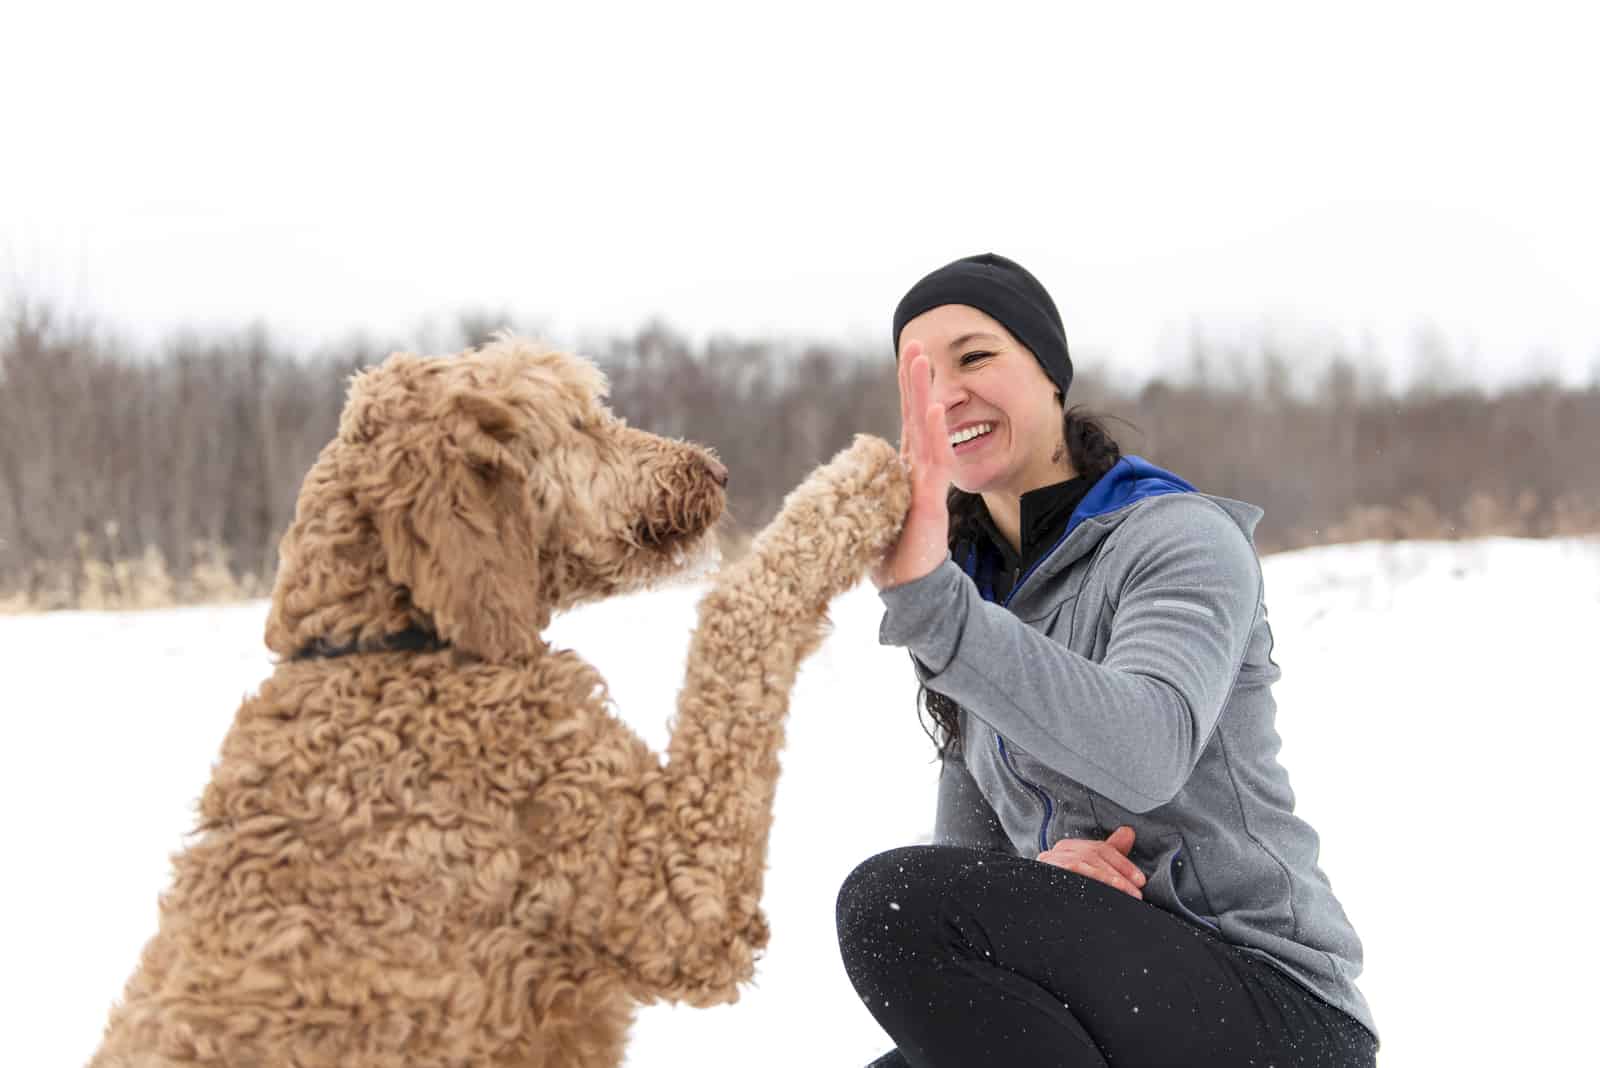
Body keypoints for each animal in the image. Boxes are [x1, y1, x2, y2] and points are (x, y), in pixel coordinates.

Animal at [90, 335, 915, 1068]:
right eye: (581, 422)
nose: (714, 470)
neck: (397, 644)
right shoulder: (676, 891)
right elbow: (739, 613)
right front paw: (860, 482)